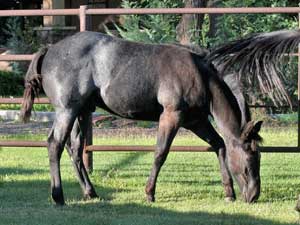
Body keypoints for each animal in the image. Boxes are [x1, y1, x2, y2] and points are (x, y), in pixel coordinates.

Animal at [21, 29, 300, 205]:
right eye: (251, 160)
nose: (253, 195)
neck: (200, 75)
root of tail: (49, 49)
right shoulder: (171, 116)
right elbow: (160, 153)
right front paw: (149, 193)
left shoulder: (195, 121)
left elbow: (219, 145)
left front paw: (228, 191)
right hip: (67, 110)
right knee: (55, 144)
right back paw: (58, 196)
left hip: (82, 113)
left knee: (75, 149)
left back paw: (90, 192)